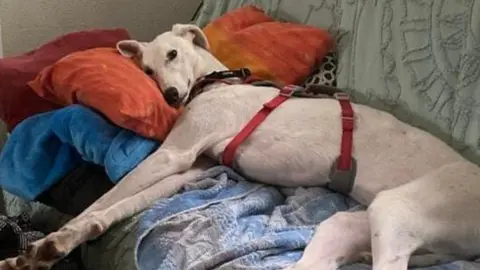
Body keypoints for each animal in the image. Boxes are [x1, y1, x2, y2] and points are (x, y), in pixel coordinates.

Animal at [0, 23, 480, 270]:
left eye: (173, 54)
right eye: (147, 70)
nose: (171, 97)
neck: (217, 82)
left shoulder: (174, 154)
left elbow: (105, 198)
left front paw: (53, 239)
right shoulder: (190, 166)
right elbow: (115, 206)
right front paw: (55, 245)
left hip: (396, 211)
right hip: (347, 227)